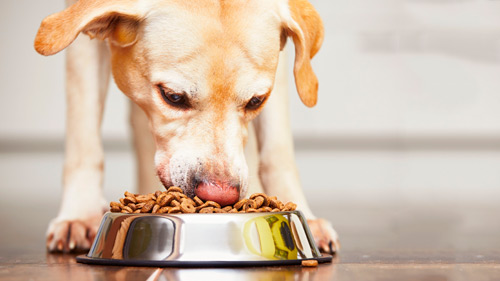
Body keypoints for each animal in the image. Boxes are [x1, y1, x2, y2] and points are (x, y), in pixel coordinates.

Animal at [36, 0, 340, 254]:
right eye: (173, 97)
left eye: (256, 101)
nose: (220, 195)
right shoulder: (81, 44)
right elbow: (84, 138)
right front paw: (80, 215)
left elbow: (278, 151)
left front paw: (302, 213)